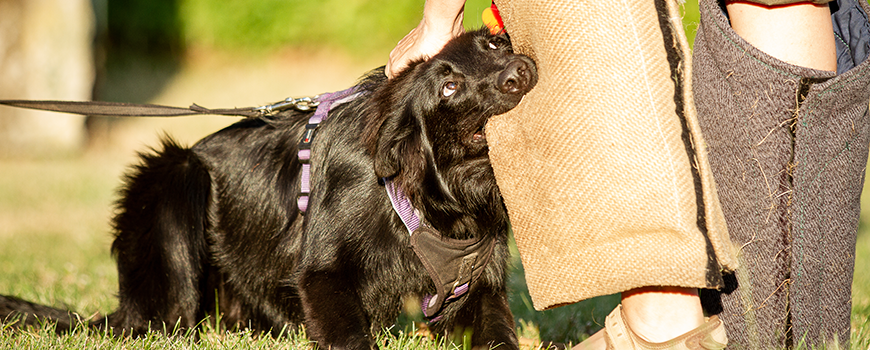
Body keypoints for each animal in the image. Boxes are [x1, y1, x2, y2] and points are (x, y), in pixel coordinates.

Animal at [0, 28, 540, 350]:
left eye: (494, 46)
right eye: (448, 87)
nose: (520, 72)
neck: (429, 197)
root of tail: (125, 310)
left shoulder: (478, 289)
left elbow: (498, 336)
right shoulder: (321, 275)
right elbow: (351, 336)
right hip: (175, 174)